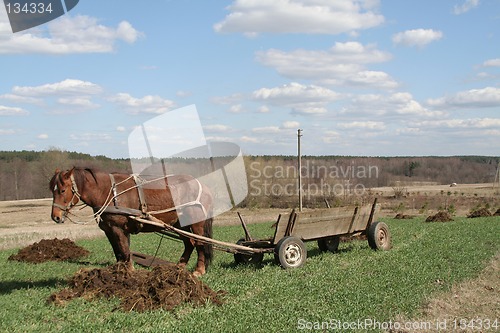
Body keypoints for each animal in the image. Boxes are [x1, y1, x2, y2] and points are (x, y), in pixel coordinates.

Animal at [50, 166, 213, 274]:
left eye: (62, 190)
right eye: (52, 189)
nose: (55, 216)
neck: (109, 192)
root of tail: (203, 186)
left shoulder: (118, 228)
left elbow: (124, 250)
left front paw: (129, 272)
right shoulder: (110, 230)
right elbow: (119, 252)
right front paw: (119, 271)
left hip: (196, 223)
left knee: (200, 243)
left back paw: (199, 270)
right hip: (180, 224)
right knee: (189, 243)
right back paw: (179, 267)